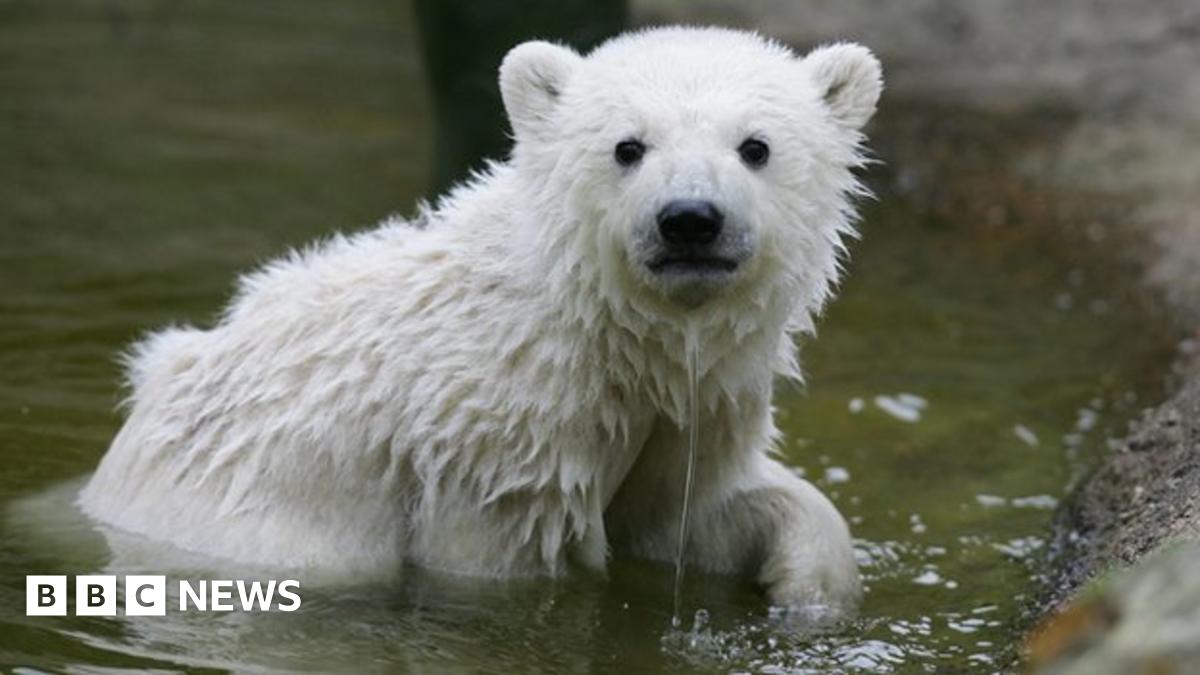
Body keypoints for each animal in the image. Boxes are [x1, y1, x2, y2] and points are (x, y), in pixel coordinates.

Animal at [79, 26, 882, 612]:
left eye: (756, 146)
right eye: (627, 146)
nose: (689, 220)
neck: (597, 324)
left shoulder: (691, 403)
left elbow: (681, 518)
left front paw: (808, 586)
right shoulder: (494, 439)